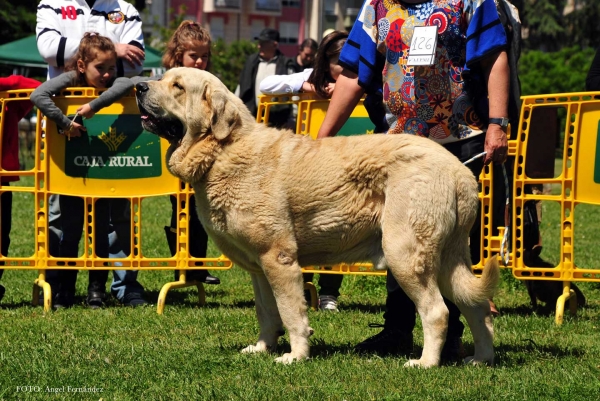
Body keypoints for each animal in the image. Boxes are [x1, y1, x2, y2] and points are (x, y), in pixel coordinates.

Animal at [136, 67, 502, 368]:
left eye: (177, 86)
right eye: (162, 78)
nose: (138, 86)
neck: (223, 149)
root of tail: (458, 171)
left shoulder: (278, 259)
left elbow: (290, 312)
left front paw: (295, 355)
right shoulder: (259, 267)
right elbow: (266, 312)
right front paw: (263, 348)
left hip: (406, 254)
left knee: (438, 311)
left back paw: (425, 363)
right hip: (448, 259)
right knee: (477, 308)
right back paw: (481, 359)